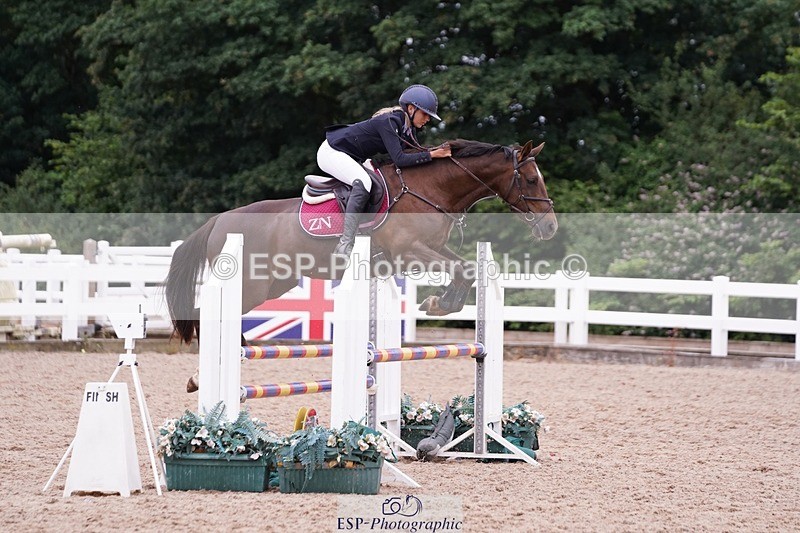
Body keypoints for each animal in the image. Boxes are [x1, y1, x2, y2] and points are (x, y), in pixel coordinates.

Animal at [165, 138, 558, 345]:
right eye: (532, 180)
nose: (551, 227)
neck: (431, 189)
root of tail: (219, 220)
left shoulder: (430, 249)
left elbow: (466, 269)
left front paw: (439, 302)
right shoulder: (409, 251)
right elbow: (461, 270)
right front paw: (440, 302)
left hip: (276, 283)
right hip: (252, 285)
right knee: (205, 312)